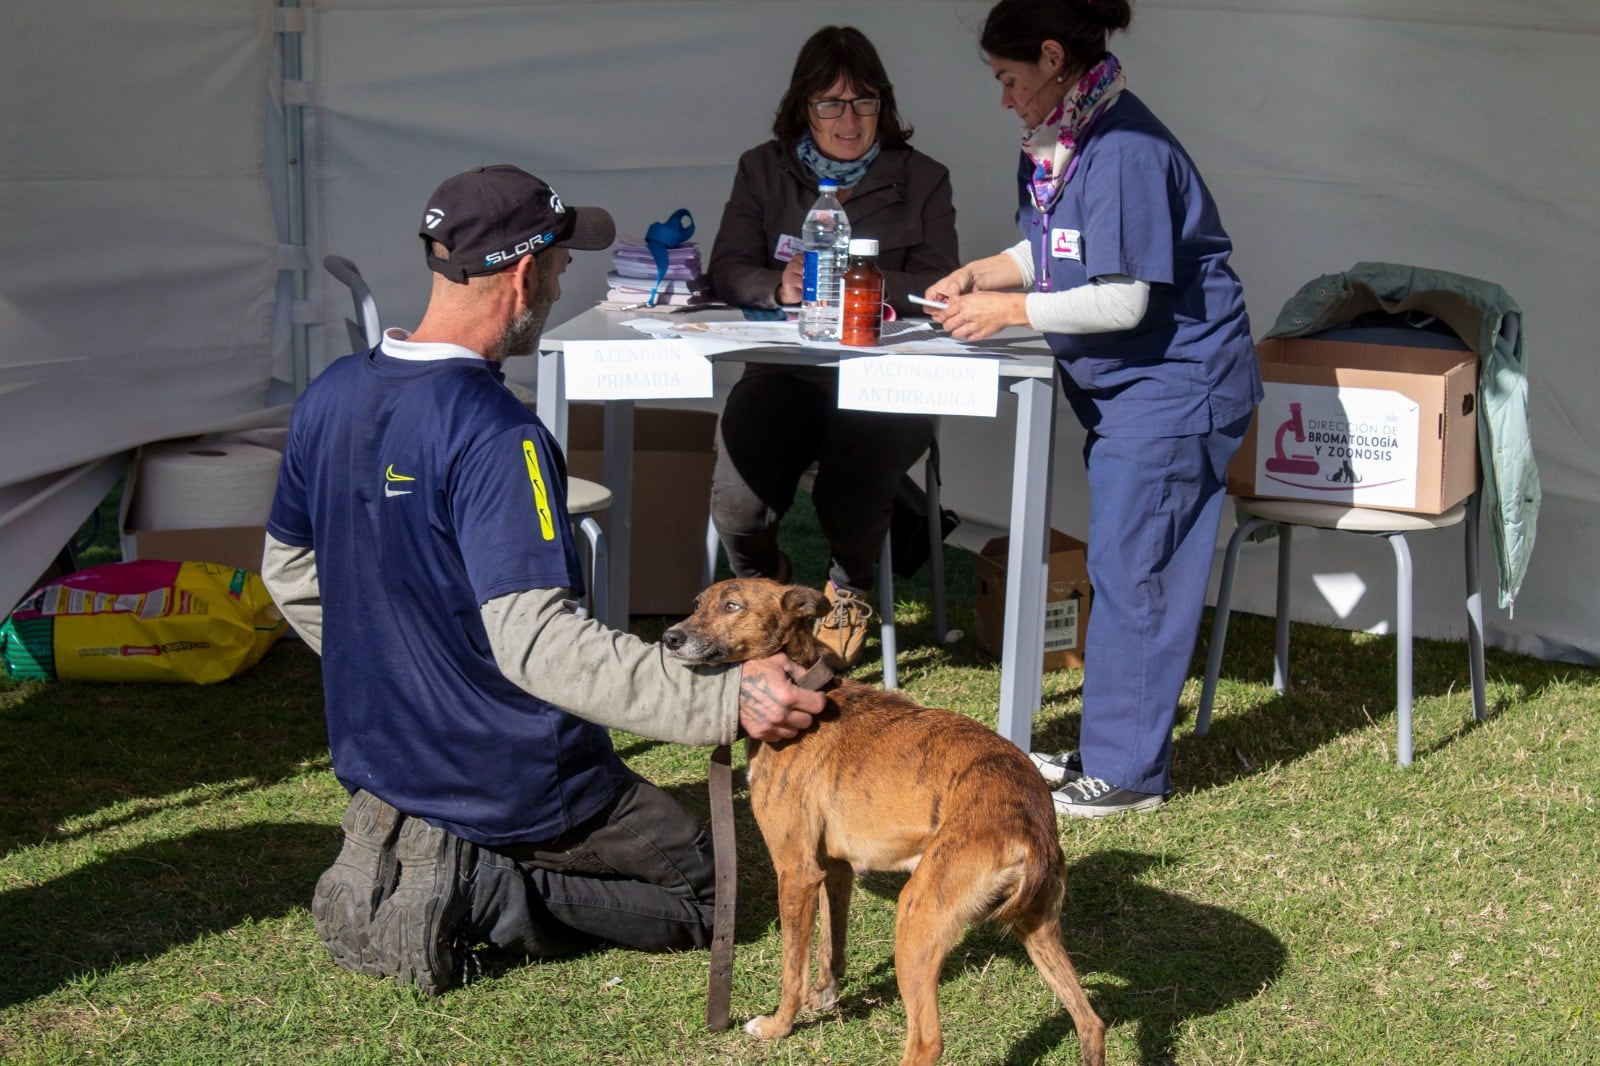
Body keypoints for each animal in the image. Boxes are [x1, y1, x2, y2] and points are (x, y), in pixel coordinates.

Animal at [659, 576, 1100, 1062]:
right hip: (1037, 928)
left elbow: (792, 968)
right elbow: (831, 945)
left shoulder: (796, 871)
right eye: (698, 603)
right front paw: (825, 996)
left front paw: (779, 1026)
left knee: (927, 1040)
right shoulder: (833, 869)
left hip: (917, 920)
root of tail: (1030, 824)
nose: (669, 638)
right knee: (1091, 1022)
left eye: (733, 606)